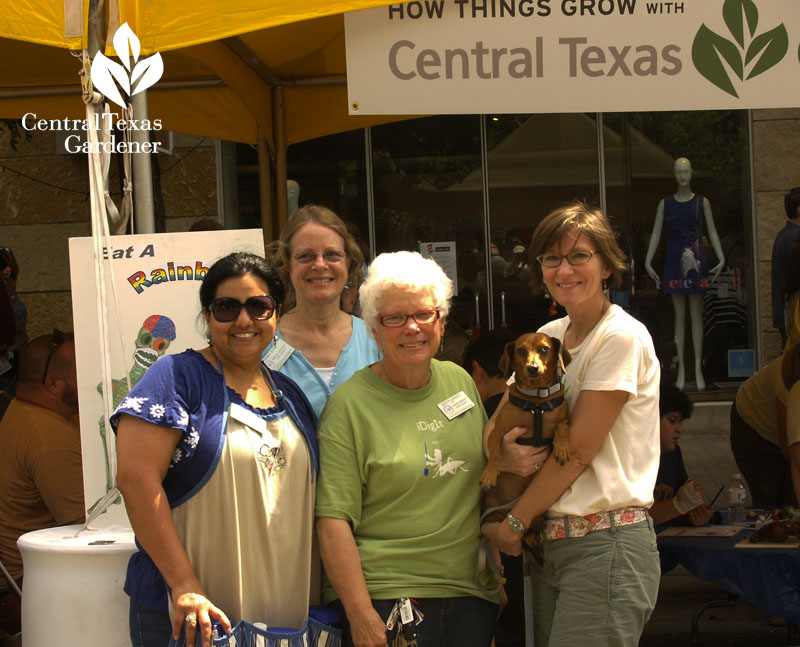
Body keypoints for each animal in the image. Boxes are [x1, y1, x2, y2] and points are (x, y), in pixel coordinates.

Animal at [482, 334, 568, 506]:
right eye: (521, 350)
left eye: (544, 348)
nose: (532, 368)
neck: (537, 400)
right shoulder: (497, 431)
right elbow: (494, 451)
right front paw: (490, 473)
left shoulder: (564, 417)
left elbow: (561, 426)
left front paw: (562, 447)